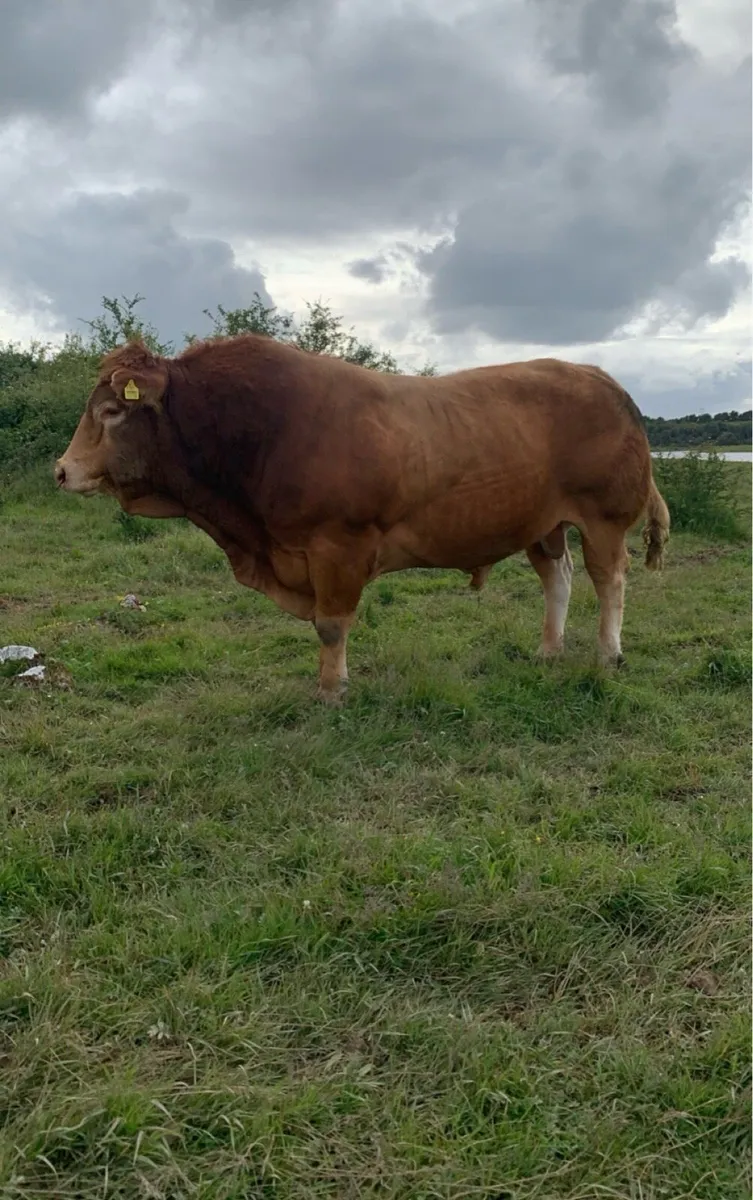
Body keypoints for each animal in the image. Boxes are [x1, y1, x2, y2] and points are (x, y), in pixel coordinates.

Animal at [54, 335, 670, 703]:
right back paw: (549, 649)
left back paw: (608, 653)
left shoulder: (337, 547)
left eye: (111, 411)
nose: (62, 470)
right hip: (543, 522)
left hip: (603, 517)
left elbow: (331, 624)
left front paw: (332, 690)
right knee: (557, 578)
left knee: (609, 579)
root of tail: (603, 380)